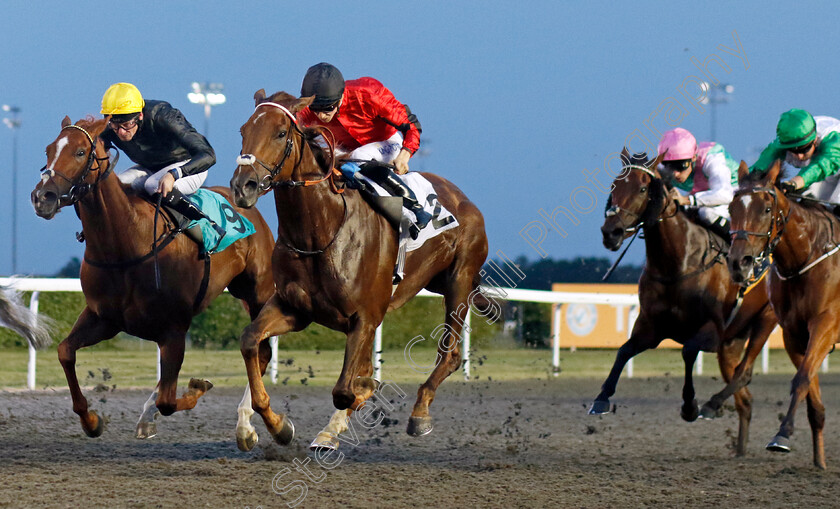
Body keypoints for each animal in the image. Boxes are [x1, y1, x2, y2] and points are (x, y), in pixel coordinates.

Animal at [31, 116, 276, 440]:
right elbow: (65, 352)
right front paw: (91, 420)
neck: (125, 242)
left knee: (261, 350)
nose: (41, 197)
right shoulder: (103, 318)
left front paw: (197, 386)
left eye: (81, 152)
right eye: (48, 150)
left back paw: (254, 425)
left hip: (258, 291)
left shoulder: (173, 330)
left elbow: (169, 401)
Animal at [230, 90, 492, 448]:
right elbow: (250, 340)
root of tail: (464, 200)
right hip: (436, 281)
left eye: (281, 133)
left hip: (459, 281)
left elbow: (346, 388)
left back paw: (418, 413)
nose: (243, 186)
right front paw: (276, 426)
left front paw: (364, 391)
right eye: (243, 131)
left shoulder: (365, 316)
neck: (320, 231)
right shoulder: (293, 309)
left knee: (448, 354)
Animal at [592, 149, 776, 454]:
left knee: (745, 373)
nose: (611, 232)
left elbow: (688, 351)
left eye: (643, 188)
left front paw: (690, 406)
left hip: (764, 321)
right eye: (613, 186)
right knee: (745, 398)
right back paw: (738, 446)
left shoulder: (712, 331)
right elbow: (623, 351)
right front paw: (601, 398)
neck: (678, 263)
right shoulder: (651, 328)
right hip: (732, 343)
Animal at [728, 160, 840, 468]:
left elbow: (801, 379)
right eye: (731, 208)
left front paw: (783, 433)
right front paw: (819, 462)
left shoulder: (826, 324)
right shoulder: (794, 333)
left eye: (766, 209)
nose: (738, 263)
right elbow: (811, 391)